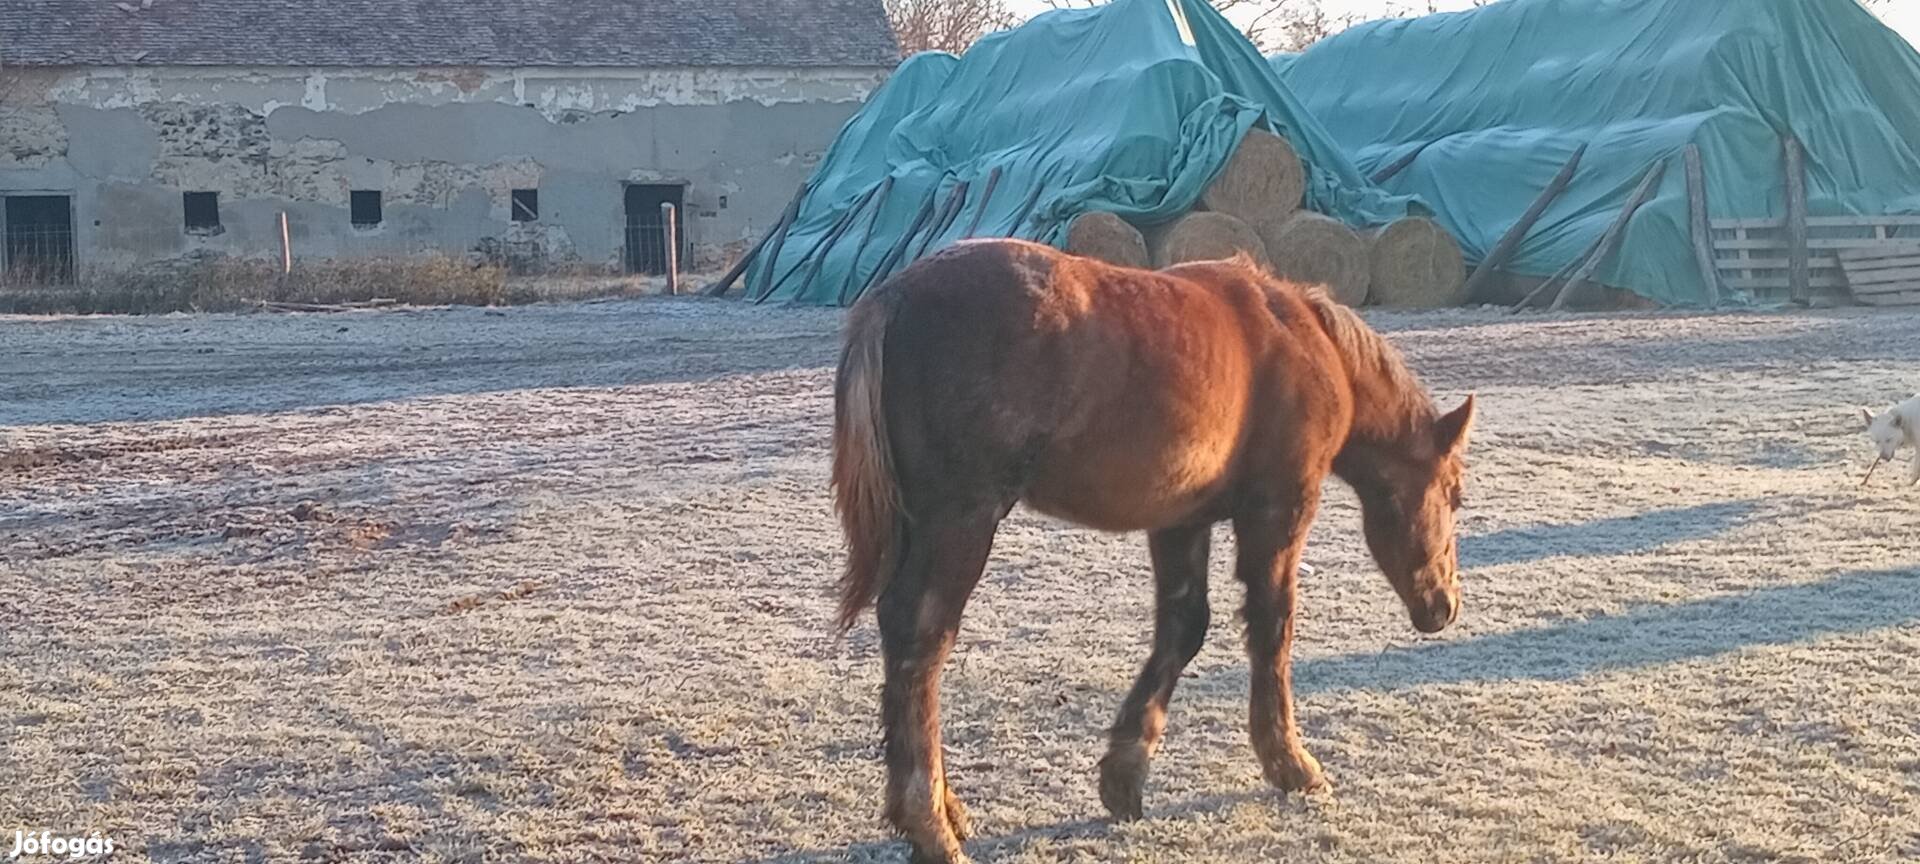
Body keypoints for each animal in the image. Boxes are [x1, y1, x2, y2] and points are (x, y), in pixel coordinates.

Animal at [825, 238, 1466, 864]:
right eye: (1456, 494)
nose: (1444, 606)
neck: (1305, 340)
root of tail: (894, 296)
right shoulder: (1278, 512)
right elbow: (1272, 628)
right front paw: (1291, 763)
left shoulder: (1182, 521)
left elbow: (1183, 628)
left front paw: (1124, 774)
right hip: (960, 522)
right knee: (921, 639)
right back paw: (930, 825)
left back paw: (944, 808)